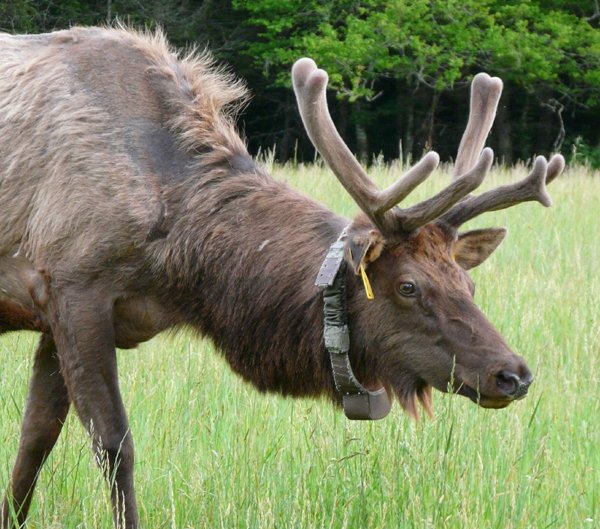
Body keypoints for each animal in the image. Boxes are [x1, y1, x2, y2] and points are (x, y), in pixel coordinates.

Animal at [0, 25, 564, 528]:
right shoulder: (74, 283)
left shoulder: (61, 315)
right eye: (407, 286)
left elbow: (33, 443)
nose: (512, 374)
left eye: (468, 285)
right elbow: (113, 443)